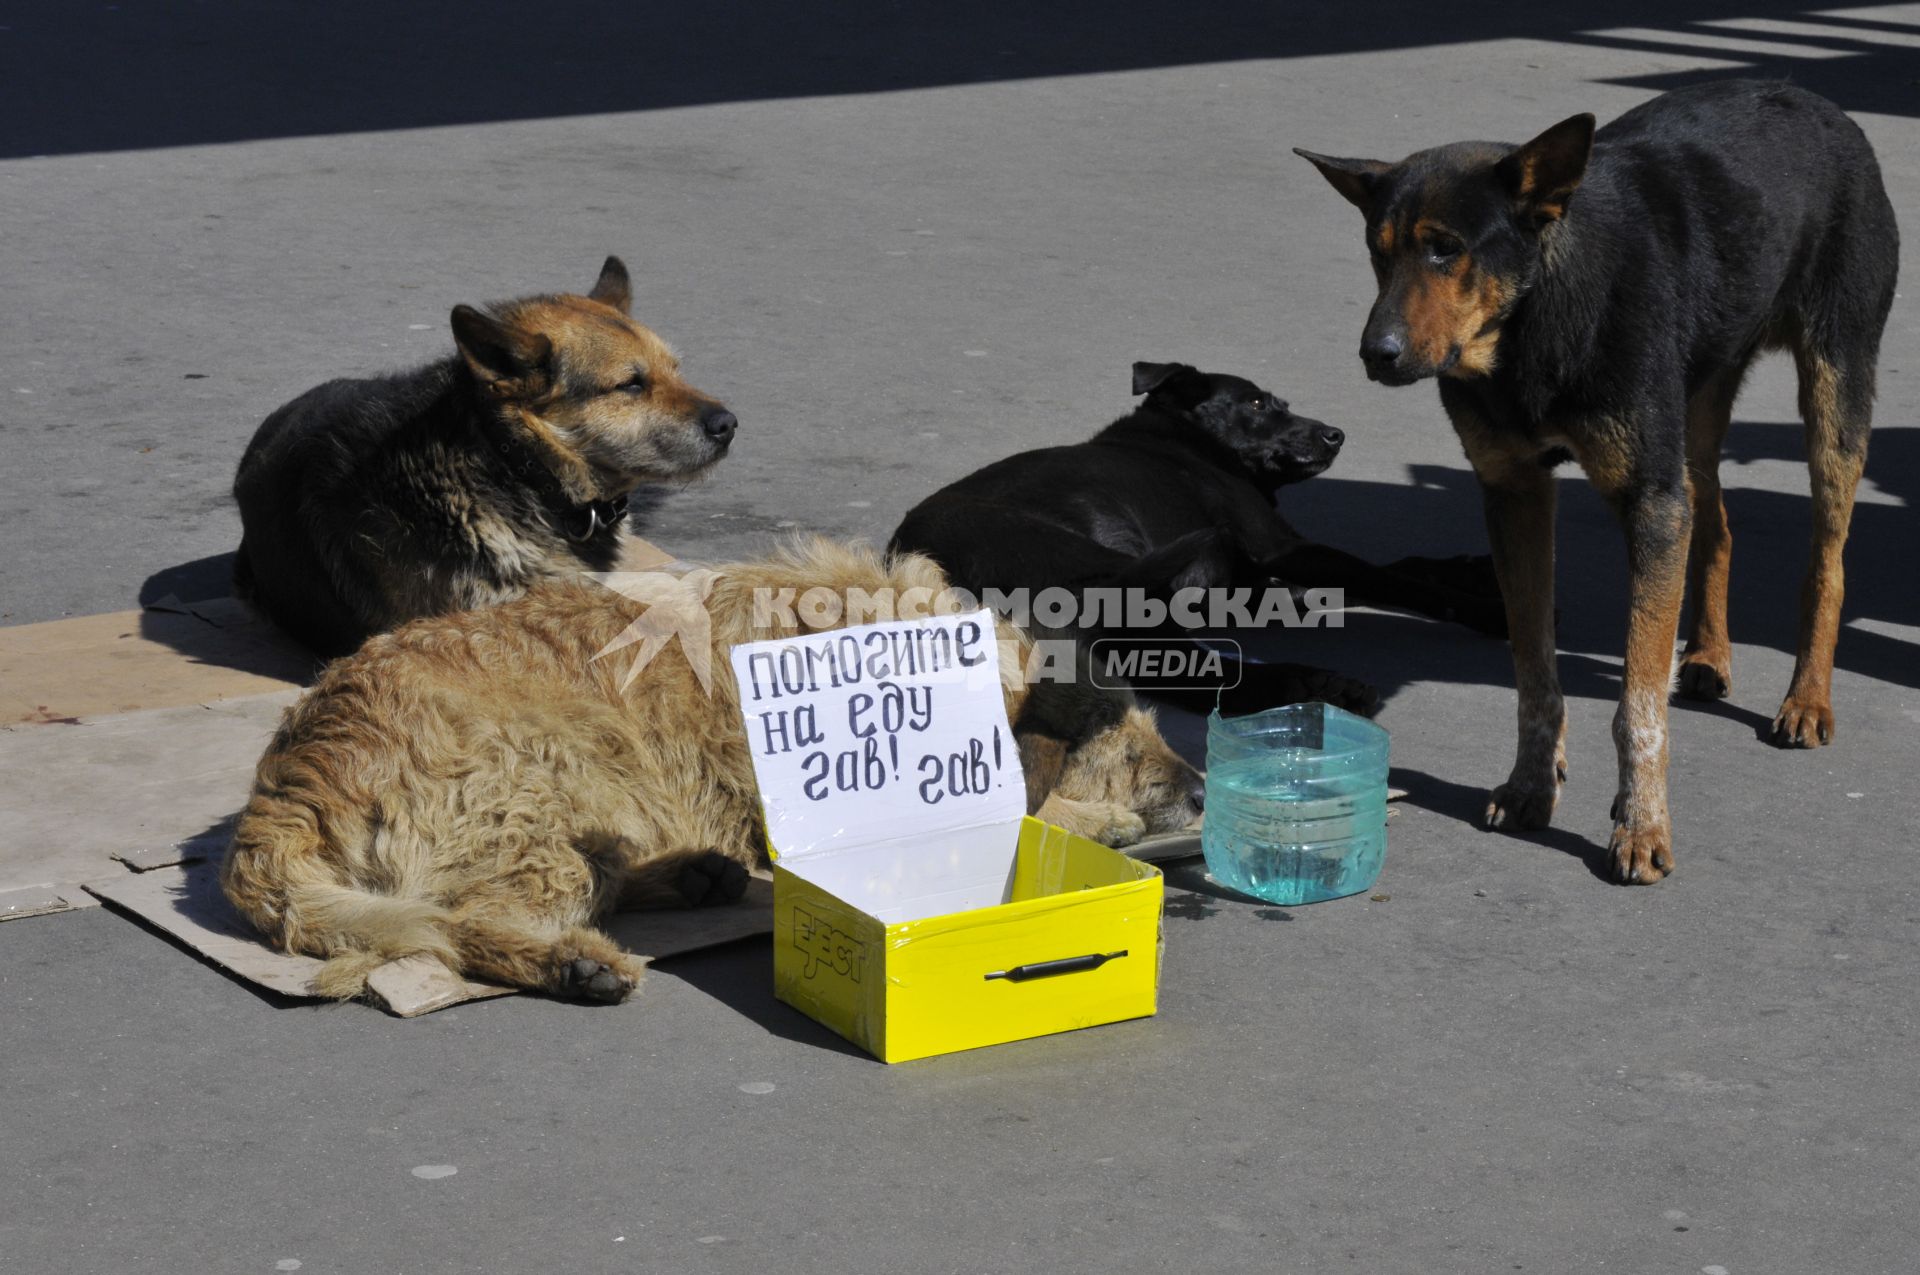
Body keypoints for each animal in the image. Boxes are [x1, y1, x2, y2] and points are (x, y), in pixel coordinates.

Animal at [224, 537, 1198, 1006]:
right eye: (1124, 750)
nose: (1195, 787)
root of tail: (287, 787)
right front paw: (1099, 819)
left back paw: (693, 873)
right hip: (545, 780)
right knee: (469, 921)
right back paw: (576, 963)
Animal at [890, 362, 1505, 710]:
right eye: (1256, 403)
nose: (1336, 434)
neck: (1189, 443)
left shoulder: (1266, 579)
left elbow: (1402, 565)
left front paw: (1472, 569)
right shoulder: (1283, 549)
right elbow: (1395, 579)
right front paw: (1482, 608)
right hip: (1105, 571)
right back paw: (1304, 684)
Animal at [1297, 74, 1896, 883]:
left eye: (1446, 249)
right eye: (1377, 252)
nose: (1375, 354)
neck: (1535, 323)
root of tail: (1807, 96)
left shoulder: (1647, 499)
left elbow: (1637, 700)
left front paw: (1641, 824)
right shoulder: (1515, 494)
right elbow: (1533, 673)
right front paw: (1530, 783)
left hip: (1835, 389)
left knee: (1826, 561)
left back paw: (1806, 697)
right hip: (1695, 407)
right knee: (1716, 522)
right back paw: (1706, 655)